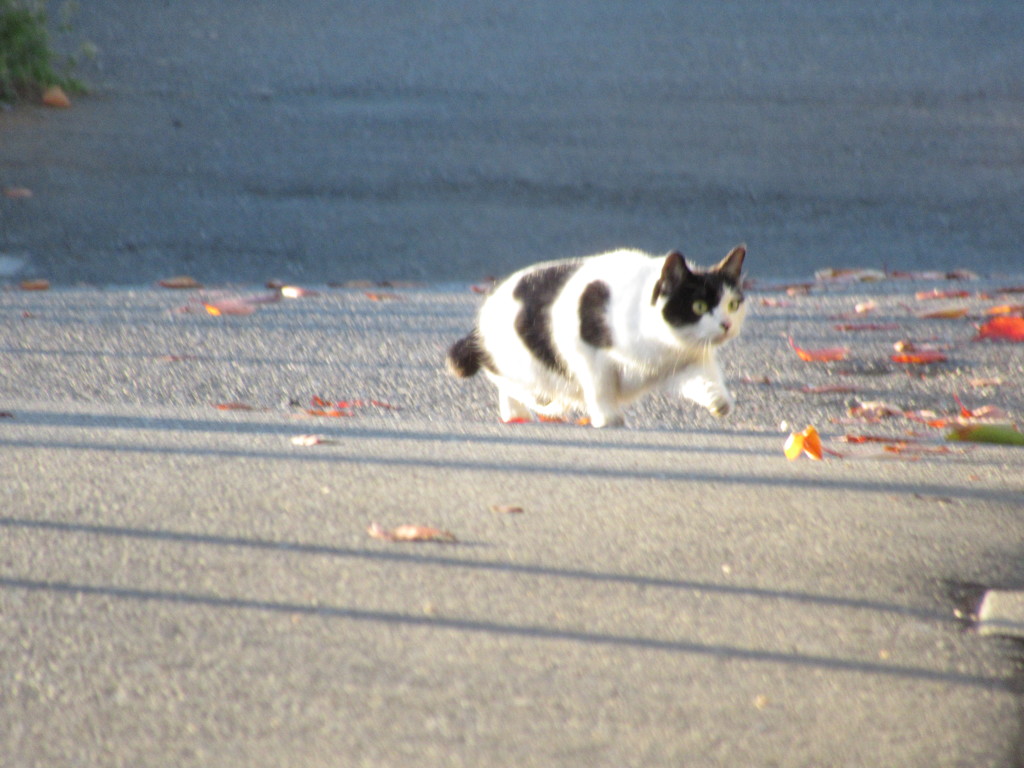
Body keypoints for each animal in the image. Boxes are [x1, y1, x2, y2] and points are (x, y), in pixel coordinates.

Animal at [446, 244, 745, 430]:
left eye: (733, 304)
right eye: (699, 307)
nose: (727, 324)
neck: (660, 345)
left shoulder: (685, 361)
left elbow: (704, 379)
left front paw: (719, 402)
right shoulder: (587, 352)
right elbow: (600, 386)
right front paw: (608, 418)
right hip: (524, 366)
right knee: (512, 385)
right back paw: (523, 411)